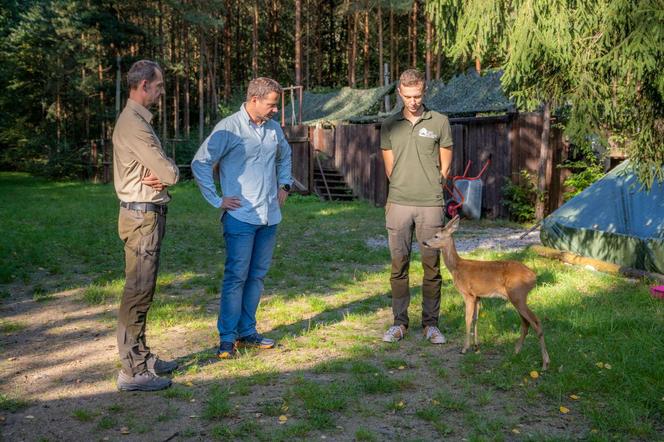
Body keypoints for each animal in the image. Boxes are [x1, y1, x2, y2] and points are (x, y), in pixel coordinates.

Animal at [426, 216, 548, 372]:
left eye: (436, 236)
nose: (425, 242)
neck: (456, 267)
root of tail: (533, 276)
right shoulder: (478, 296)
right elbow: (476, 319)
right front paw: (476, 346)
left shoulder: (468, 294)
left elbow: (467, 319)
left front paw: (464, 348)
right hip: (517, 297)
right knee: (526, 323)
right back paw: (516, 352)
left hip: (518, 295)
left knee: (536, 322)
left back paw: (545, 363)